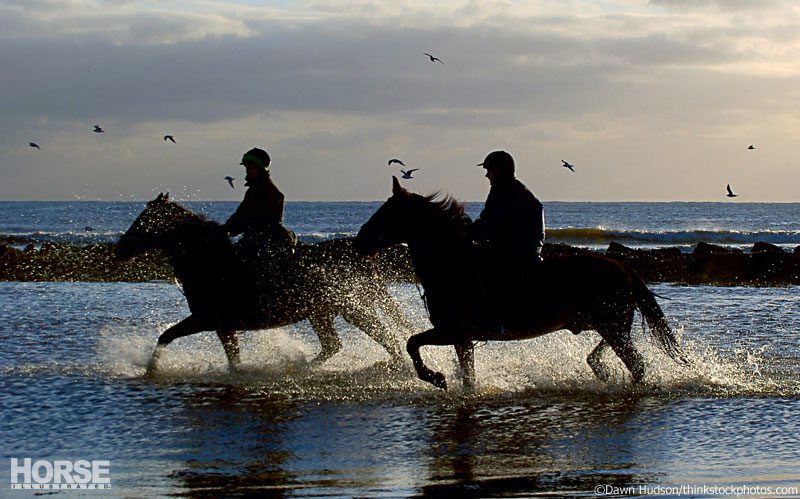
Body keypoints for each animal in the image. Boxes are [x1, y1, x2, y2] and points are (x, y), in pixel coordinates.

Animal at [356, 178, 688, 392]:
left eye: (388, 212)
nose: (360, 241)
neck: (453, 264)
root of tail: (623, 268)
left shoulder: (453, 330)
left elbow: (412, 343)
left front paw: (435, 377)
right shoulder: (461, 338)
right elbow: (466, 375)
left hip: (613, 326)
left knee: (637, 365)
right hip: (609, 324)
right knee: (609, 356)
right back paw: (602, 371)